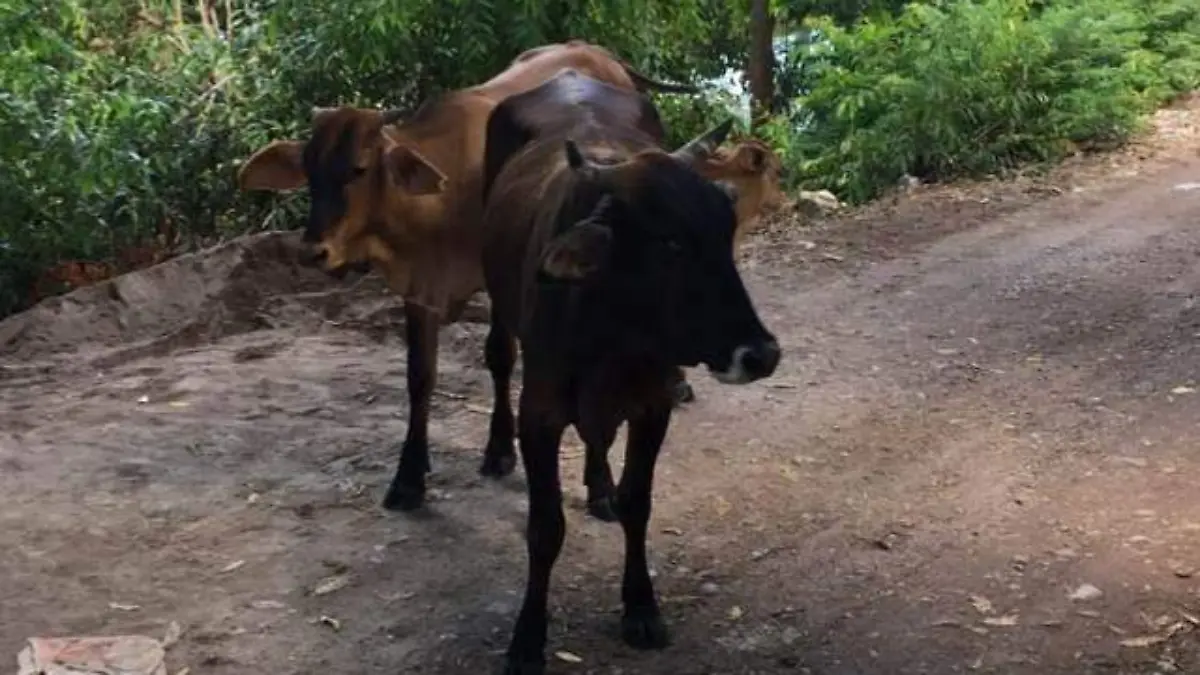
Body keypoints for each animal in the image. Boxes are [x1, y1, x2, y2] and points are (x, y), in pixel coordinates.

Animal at [235, 41, 700, 513]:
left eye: (359, 169)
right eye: (308, 169)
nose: (314, 250)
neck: (440, 195)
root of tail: (592, 49)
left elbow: (500, 356)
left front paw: (501, 450)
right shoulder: (420, 290)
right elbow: (420, 377)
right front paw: (409, 476)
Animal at [478, 70, 781, 675]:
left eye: (726, 234)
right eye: (671, 243)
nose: (760, 354)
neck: (611, 333)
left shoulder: (652, 402)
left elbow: (638, 503)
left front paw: (640, 607)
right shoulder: (539, 412)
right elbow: (544, 529)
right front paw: (527, 639)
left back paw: (599, 489)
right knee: (499, 357)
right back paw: (496, 450)